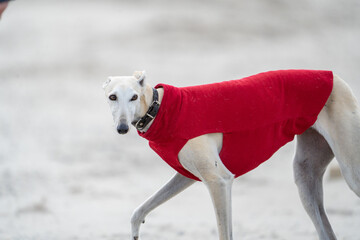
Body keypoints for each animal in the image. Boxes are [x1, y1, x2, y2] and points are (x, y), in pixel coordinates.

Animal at [102, 70, 358, 239]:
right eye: (112, 96)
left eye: (133, 96)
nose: (122, 128)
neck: (159, 108)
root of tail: (333, 77)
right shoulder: (187, 175)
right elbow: (138, 211)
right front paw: (136, 231)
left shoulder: (220, 181)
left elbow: (225, 231)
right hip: (306, 175)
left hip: (350, 171)